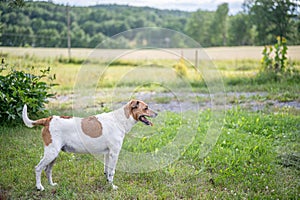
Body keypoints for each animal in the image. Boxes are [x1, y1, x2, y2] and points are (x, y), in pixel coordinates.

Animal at [22, 100, 158, 191]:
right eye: (146, 108)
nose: (157, 113)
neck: (119, 120)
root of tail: (48, 119)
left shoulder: (108, 154)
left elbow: (107, 171)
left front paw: (108, 183)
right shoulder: (114, 154)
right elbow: (112, 172)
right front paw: (113, 187)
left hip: (54, 155)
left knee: (48, 170)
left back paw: (51, 185)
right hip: (51, 153)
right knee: (38, 168)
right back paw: (39, 187)